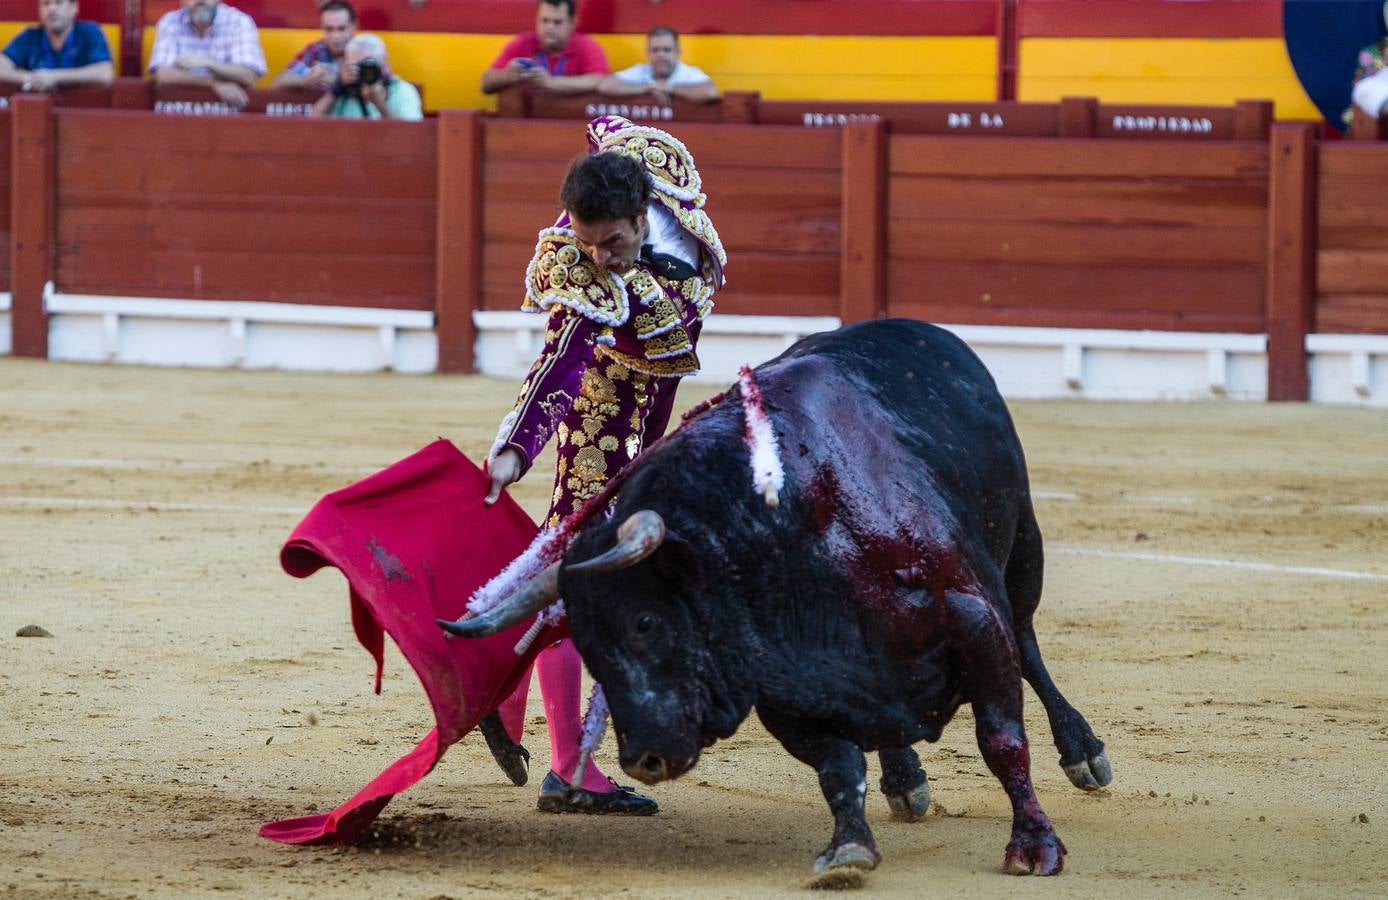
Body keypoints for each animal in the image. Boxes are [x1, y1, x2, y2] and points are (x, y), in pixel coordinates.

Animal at [444, 319, 1115, 883]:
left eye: (646, 622)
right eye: (586, 646)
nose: (643, 760)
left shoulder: (972, 618)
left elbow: (1002, 738)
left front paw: (1035, 847)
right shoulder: (787, 688)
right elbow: (838, 766)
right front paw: (849, 850)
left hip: (1022, 552)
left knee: (1028, 643)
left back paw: (1084, 754)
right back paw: (905, 779)